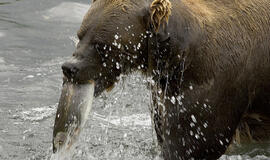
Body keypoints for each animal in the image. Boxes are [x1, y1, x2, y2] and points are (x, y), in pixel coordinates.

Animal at [56, 0, 268, 159]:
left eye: (101, 45)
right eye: (80, 35)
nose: (70, 68)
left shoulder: (215, 84)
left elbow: (194, 143)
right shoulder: (164, 93)